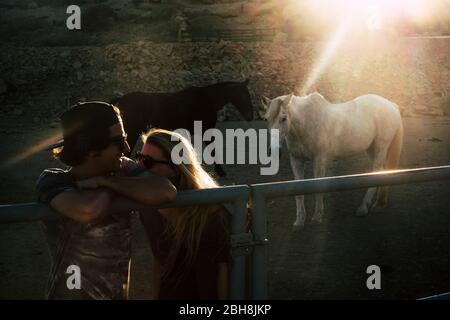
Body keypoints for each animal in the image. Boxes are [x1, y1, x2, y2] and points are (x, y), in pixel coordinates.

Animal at [111, 79, 255, 176]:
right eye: (243, 95)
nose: (250, 116)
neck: (207, 100)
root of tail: (121, 99)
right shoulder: (206, 131)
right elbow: (212, 150)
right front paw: (220, 172)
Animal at [260, 92, 404, 230]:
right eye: (266, 119)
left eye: (283, 118)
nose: (273, 151)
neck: (306, 123)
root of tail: (391, 105)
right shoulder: (296, 161)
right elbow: (299, 192)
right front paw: (299, 222)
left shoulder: (319, 160)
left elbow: (317, 187)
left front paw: (317, 218)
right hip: (371, 149)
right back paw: (379, 203)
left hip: (381, 147)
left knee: (376, 173)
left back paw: (363, 208)